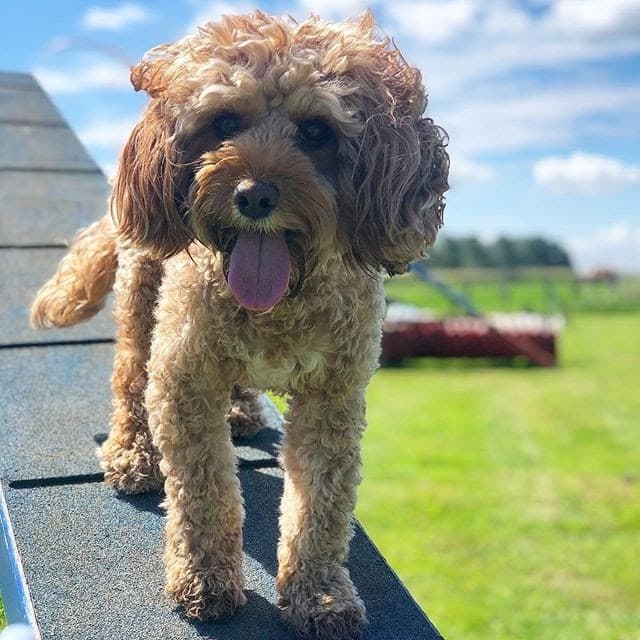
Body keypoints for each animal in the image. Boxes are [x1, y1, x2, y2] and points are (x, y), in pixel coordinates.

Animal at [30, 11, 450, 640]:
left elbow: (320, 506)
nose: (254, 195)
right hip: (142, 291)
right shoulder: (185, 376)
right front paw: (204, 580)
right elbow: (205, 490)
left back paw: (243, 409)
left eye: (317, 131)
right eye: (224, 122)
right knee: (129, 373)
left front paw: (319, 594)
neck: (277, 303)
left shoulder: (334, 397)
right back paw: (133, 452)